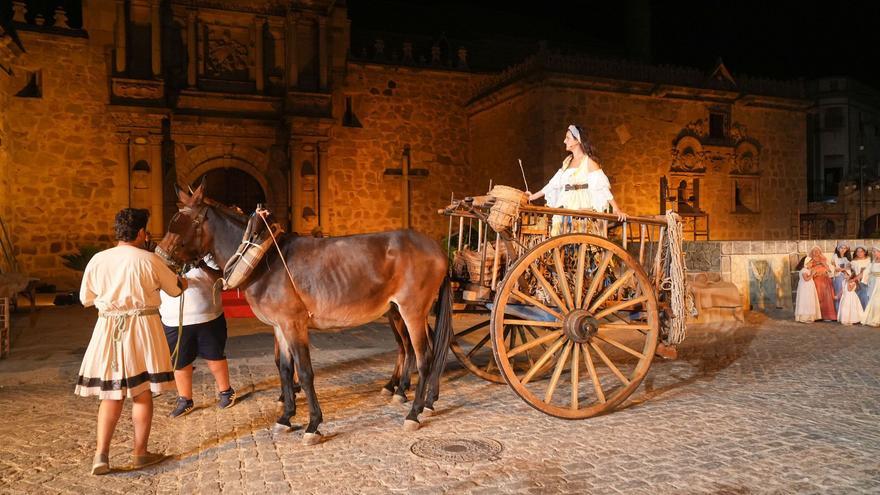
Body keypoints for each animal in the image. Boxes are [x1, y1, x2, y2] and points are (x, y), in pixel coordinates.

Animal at [156, 183, 454, 446]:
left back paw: (414, 411)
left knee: (424, 357)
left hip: (412, 311)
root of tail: (438, 249)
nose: (161, 259)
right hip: (402, 312)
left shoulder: (294, 324)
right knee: (416, 350)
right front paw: (286, 416)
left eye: (186, 222)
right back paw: (424, 401)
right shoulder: (280, 327)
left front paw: (313, 424)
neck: (263, 259)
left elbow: (305, 372)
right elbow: (286, 369)